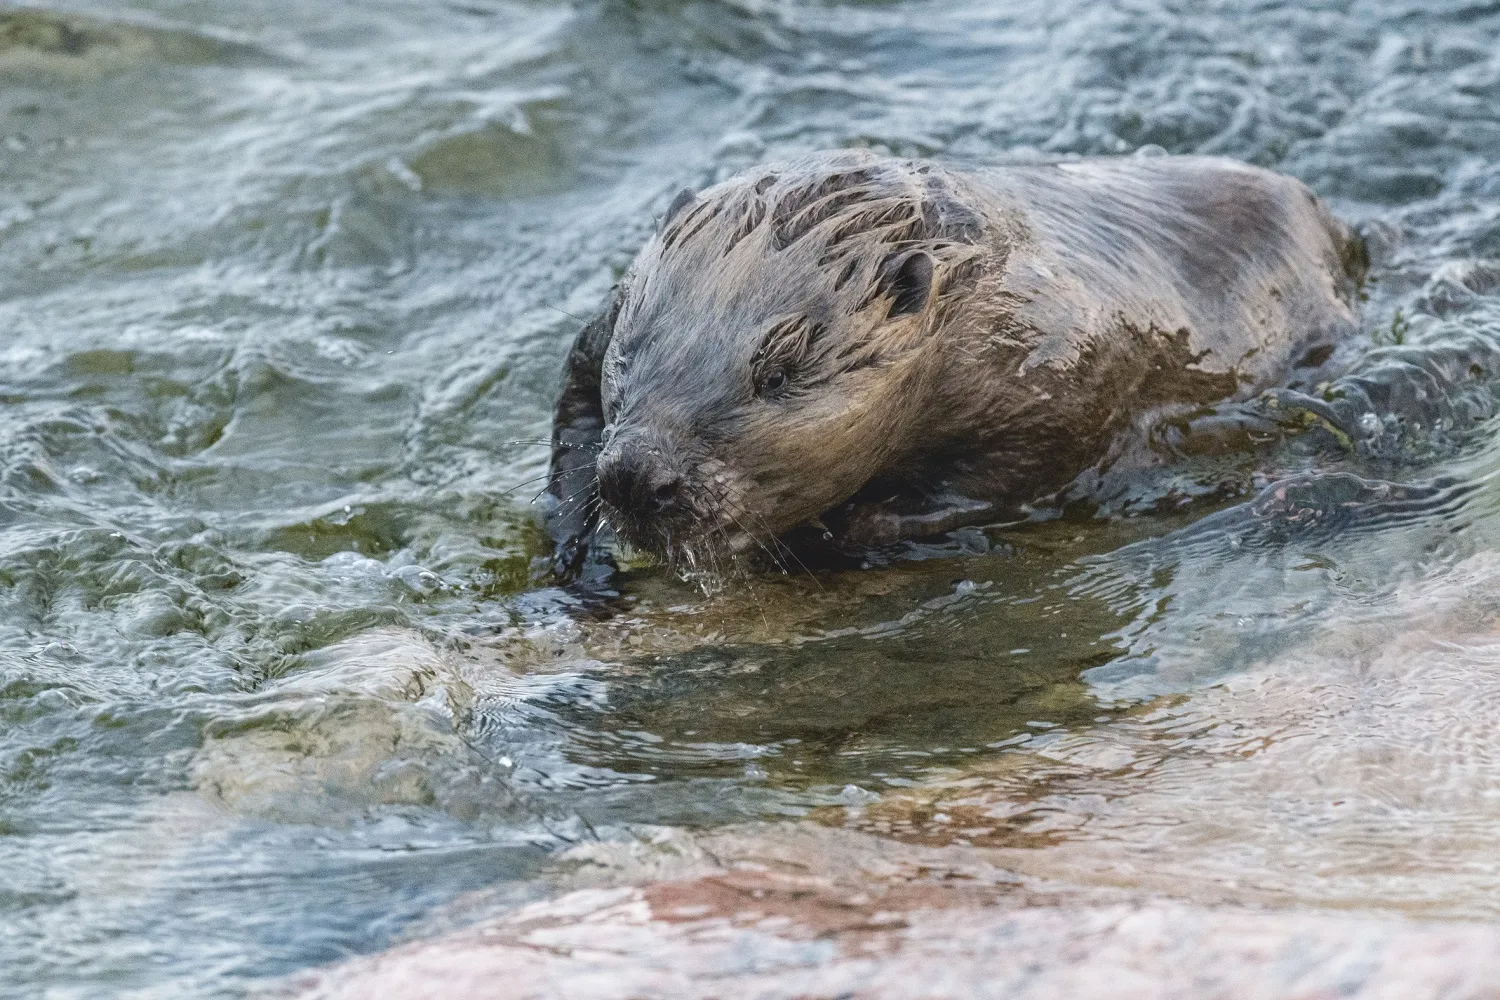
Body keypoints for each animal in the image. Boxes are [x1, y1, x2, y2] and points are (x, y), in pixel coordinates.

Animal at [546, 148, 1368, 578]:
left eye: (778, 371)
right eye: (632, 349)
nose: (639, 477)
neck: (973, 276)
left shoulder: (1058, 359)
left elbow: (1019, 469)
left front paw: (842, 532)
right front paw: (573, 559)